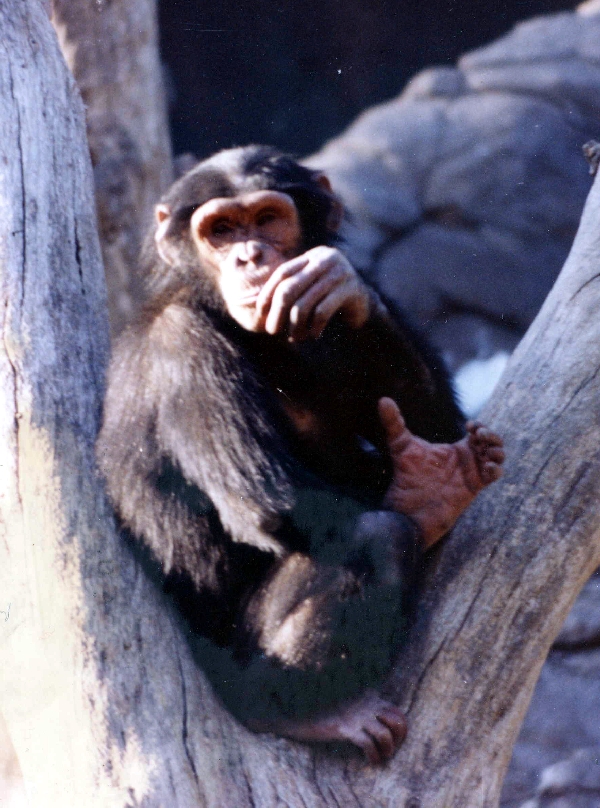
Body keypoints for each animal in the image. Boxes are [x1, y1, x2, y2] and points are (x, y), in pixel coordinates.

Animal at [96, 145, 504, 765]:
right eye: (220, 230)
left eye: (267, 218)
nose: (249, 255)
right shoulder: (183, 349)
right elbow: (275, 501)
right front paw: (423, 490)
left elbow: (441, 425)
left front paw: (341, 285)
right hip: (235, 672)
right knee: (374, 535)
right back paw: (311, 712)